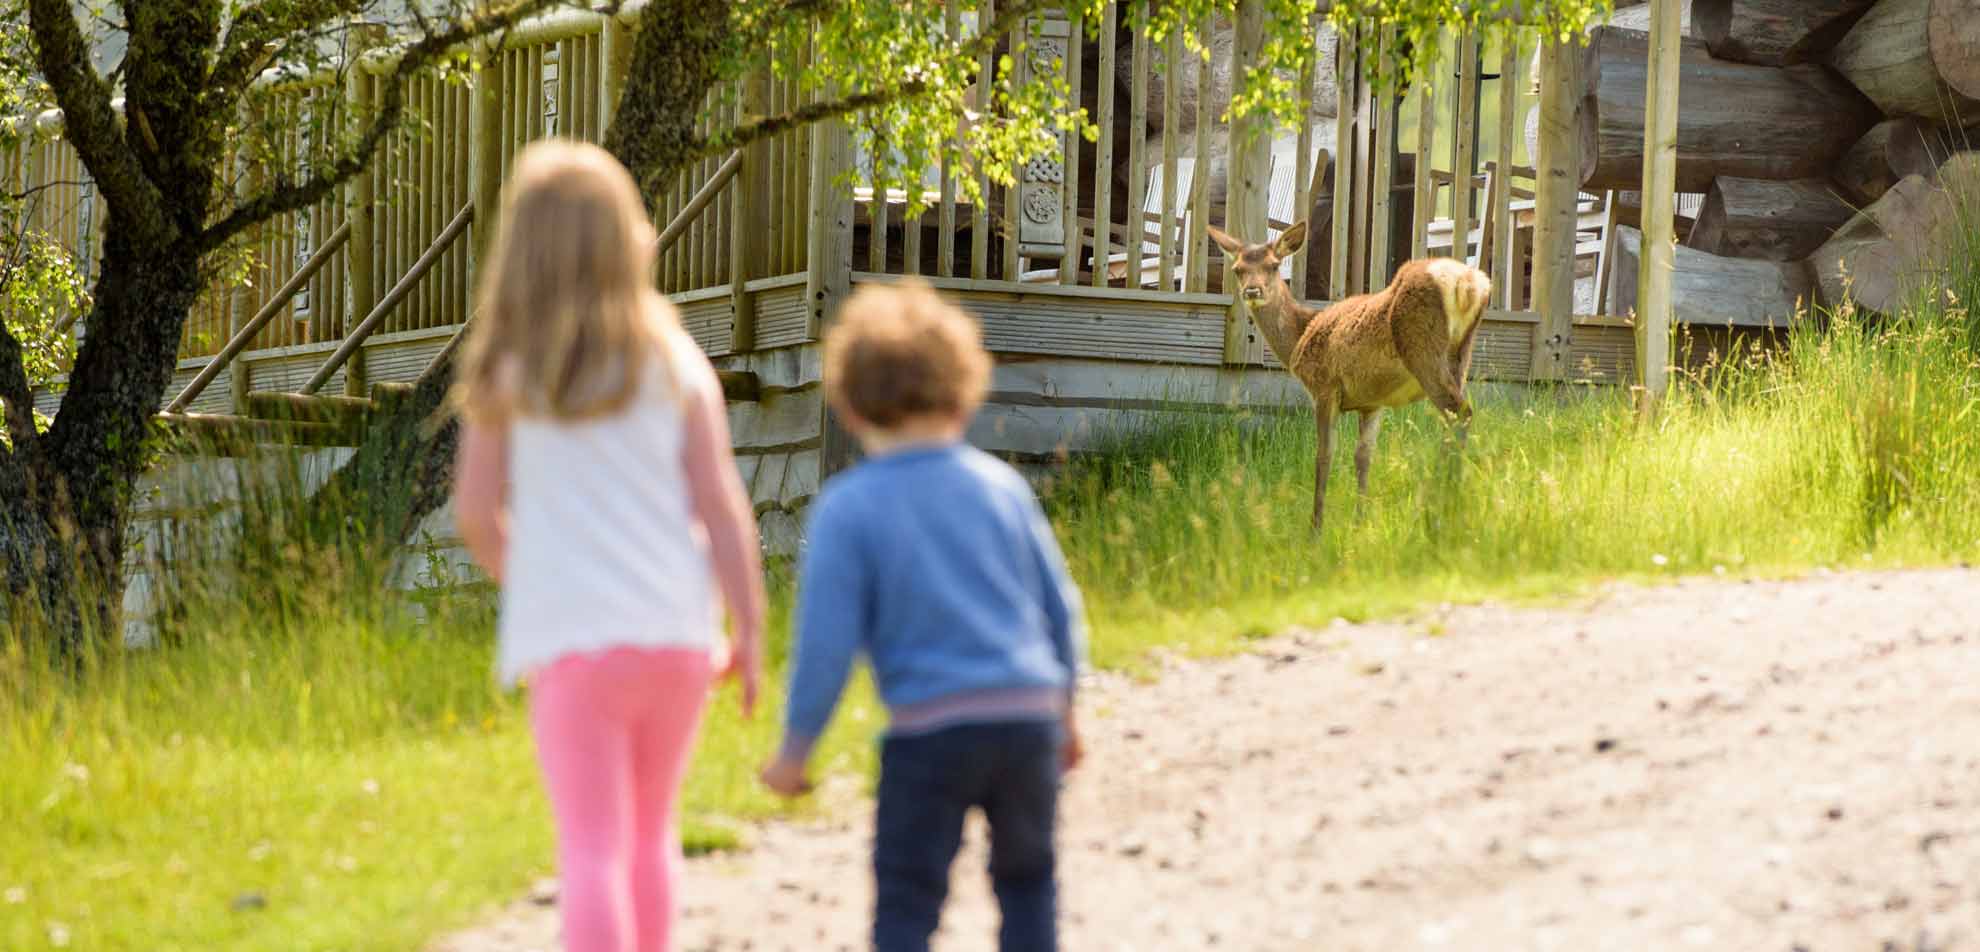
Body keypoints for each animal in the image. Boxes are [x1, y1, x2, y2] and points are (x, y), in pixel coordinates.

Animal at [1203, 220, 1488, 534]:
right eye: (1238, 269)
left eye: (1274, 265)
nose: (1252, 291)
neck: (1300, 336)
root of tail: (1470, 284)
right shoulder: (1372, 402)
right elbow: (1363, 456)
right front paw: (1360, 521)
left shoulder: (1325, 386)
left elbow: (1324, 455)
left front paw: (1316, 528)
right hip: (1460, 357)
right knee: (1454, 419)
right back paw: (1451, 505)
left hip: (1422, 349)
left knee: (1459, 412)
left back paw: (1438, 510)